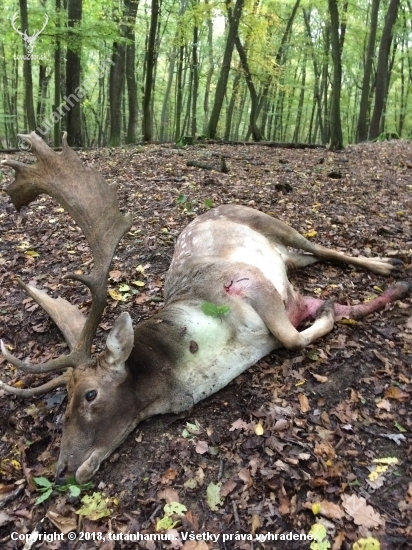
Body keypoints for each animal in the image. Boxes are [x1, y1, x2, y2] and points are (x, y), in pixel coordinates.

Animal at [1, 135, 410, 488]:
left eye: (90, 394)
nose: (60, 470)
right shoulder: (287, 301)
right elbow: (324, 317)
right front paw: (348, 305)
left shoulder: (247, 281)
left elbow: (292, 337)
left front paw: (338, 307)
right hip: (289, 258)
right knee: (309, 258)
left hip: (271, 222)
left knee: (322, 248)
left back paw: (389, 264)